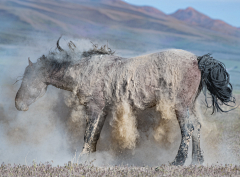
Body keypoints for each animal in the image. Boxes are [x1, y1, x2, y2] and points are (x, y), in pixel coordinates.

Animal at [15, 37, 234, 166]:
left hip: (180, 107)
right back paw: (197, 162)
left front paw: (81, 159)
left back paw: (177, 162)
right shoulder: (103, 110)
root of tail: (198, 59)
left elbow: (87, 134)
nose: (18, 103)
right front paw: (93, 159)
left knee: (188, 129)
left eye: (29, 76)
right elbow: (95, 135)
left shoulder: (94, 108)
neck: (86, 69)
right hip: (191, 106)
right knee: (197, 127)